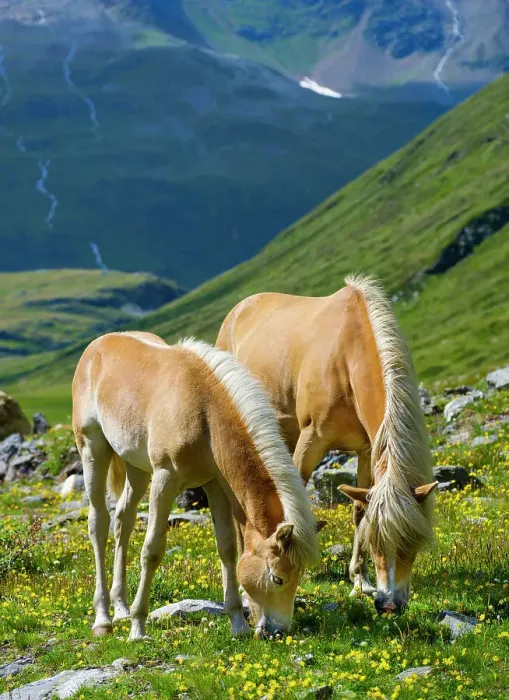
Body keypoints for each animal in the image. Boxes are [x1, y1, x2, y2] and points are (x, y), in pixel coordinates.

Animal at [72, 332, 323, 640]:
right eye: (277, 578)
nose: (278, 631)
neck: (203, 410)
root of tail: (97, 346)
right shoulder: (165, 479)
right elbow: (152, 550)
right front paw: (138, 628)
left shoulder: (215, 485)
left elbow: (227, 548)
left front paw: (237, 623)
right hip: (92, 450)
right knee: (99, 524)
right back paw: (104, 618)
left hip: (137, 467)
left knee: (123, 519)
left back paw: (120, 608)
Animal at [216, 275, 438, 614]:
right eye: (377, 542)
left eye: (411, 543)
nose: (389, 604)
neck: (346, 360)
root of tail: (238, 309)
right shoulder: (311, 440)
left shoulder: (366, 450)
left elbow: (359, 510)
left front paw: (359, 581)